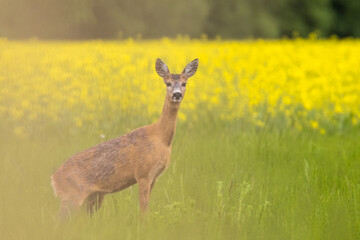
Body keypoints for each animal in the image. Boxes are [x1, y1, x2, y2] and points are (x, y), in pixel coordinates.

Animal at [50, 58, 198, 219]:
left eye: (184, 83)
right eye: (167, 83)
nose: (177, 95)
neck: (162, 139)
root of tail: (54, 179)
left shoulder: (154, 177)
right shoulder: (143, 173)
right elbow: (144, 211)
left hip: (93, 197)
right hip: (72, 195)